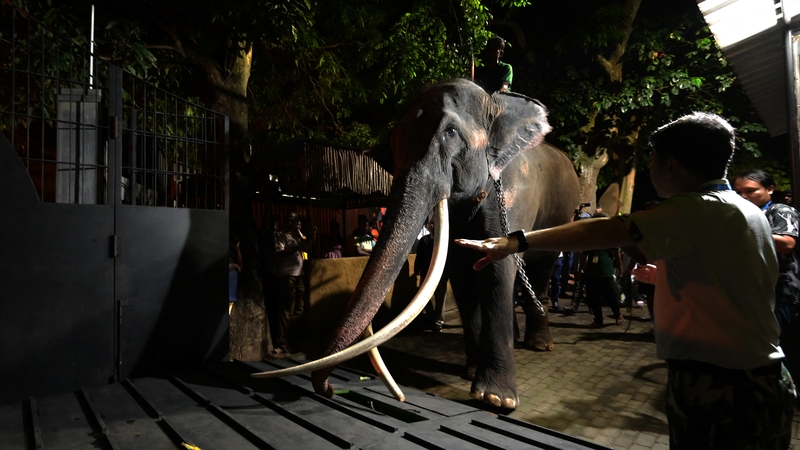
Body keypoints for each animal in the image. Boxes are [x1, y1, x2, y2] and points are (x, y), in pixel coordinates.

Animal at [254, 78, 580, 410]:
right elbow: (462, 273)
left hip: (562, 211)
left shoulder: (512, 196)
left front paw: (496, 399)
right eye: (393, 147)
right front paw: (471, 373)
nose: (330, 389)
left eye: (451, 132)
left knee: (540, 271)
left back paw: (540, 345)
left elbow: (497, 269)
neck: (494, 102)